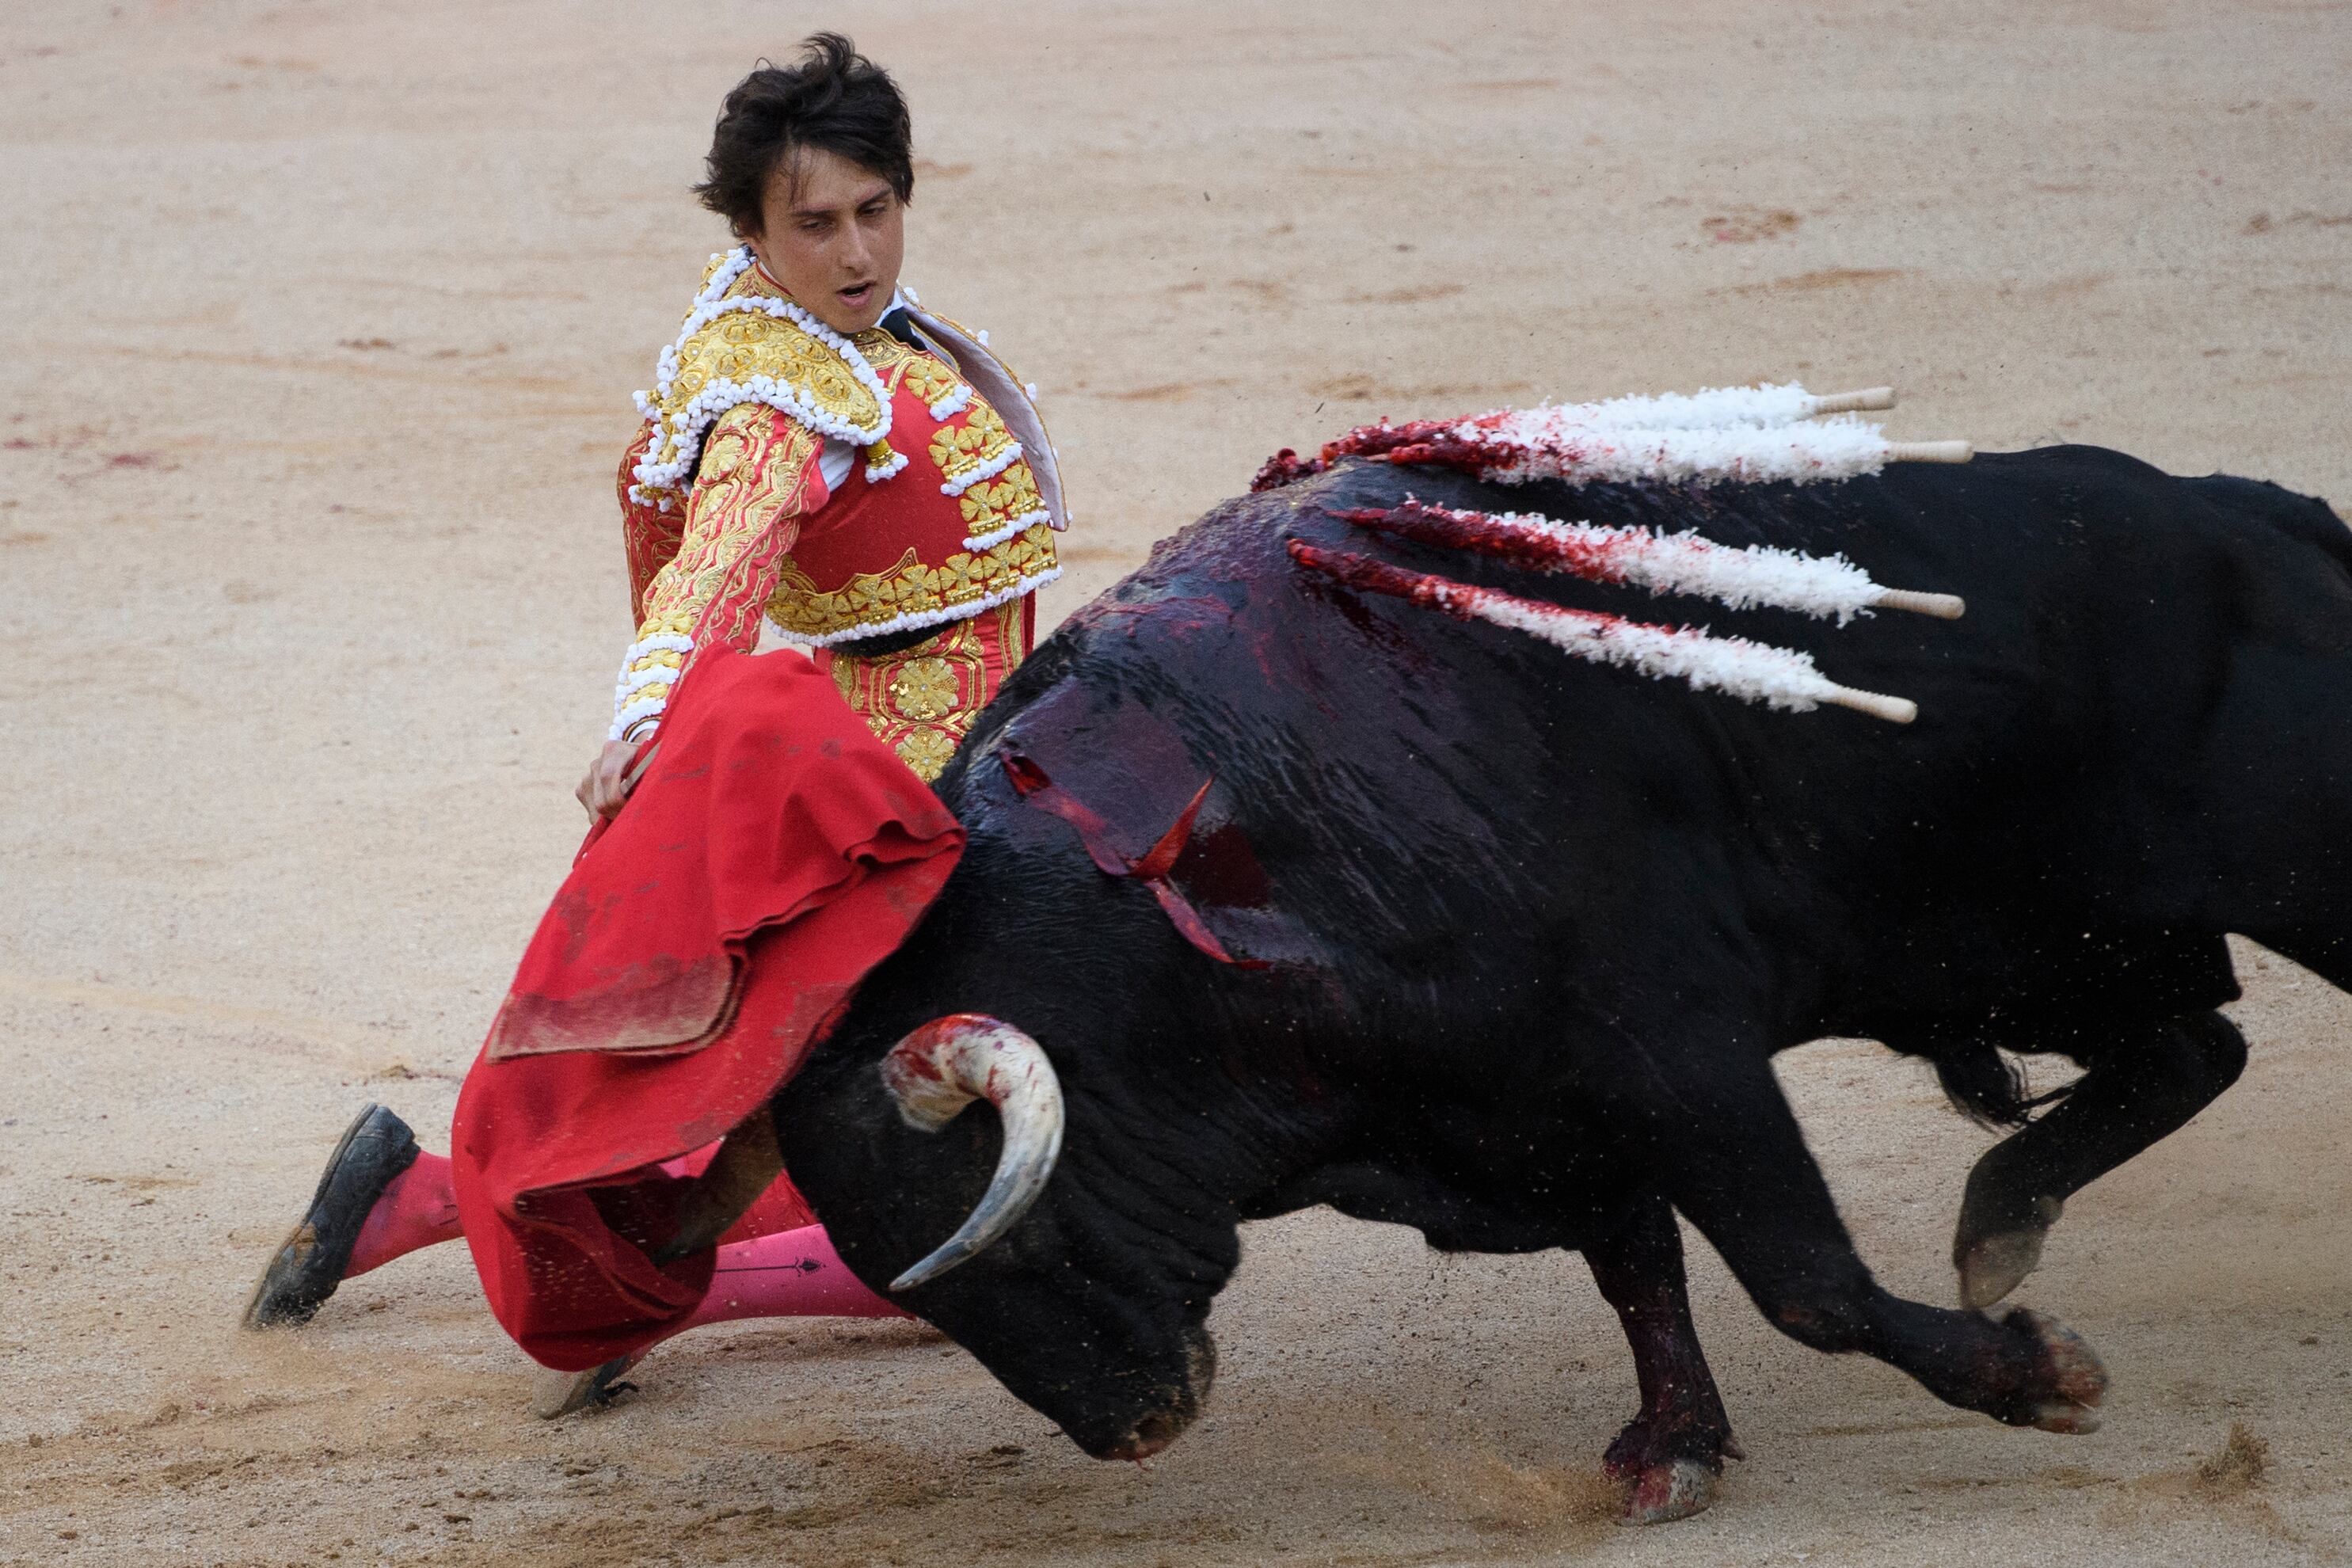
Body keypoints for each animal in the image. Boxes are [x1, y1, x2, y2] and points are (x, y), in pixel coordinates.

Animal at [767, 447, 2333, 1513]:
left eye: (1012, 1243)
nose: (1130, 1430)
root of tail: (2255, 510)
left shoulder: (1675, 1054)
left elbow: (1802, 1279)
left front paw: (2042, 1380)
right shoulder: (1531, 1095)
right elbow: (1637, 1257)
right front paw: (1678, 1450)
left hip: (2272, 886)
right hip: (2016, 952)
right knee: (2194, 1047)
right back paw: (2001, 1221)